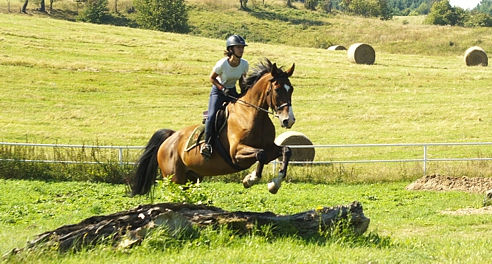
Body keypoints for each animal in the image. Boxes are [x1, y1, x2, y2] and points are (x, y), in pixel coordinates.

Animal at [131, 59, 296, 196]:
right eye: (277, 89)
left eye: (291, 89)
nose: (289, 120)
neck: (252, 114)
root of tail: (170, 138)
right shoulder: (236, 153)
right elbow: (261, 154)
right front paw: (250, 179)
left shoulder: (269, 147)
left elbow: (286, 150)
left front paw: (274, 184)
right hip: (174, 179)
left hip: (191, 177)